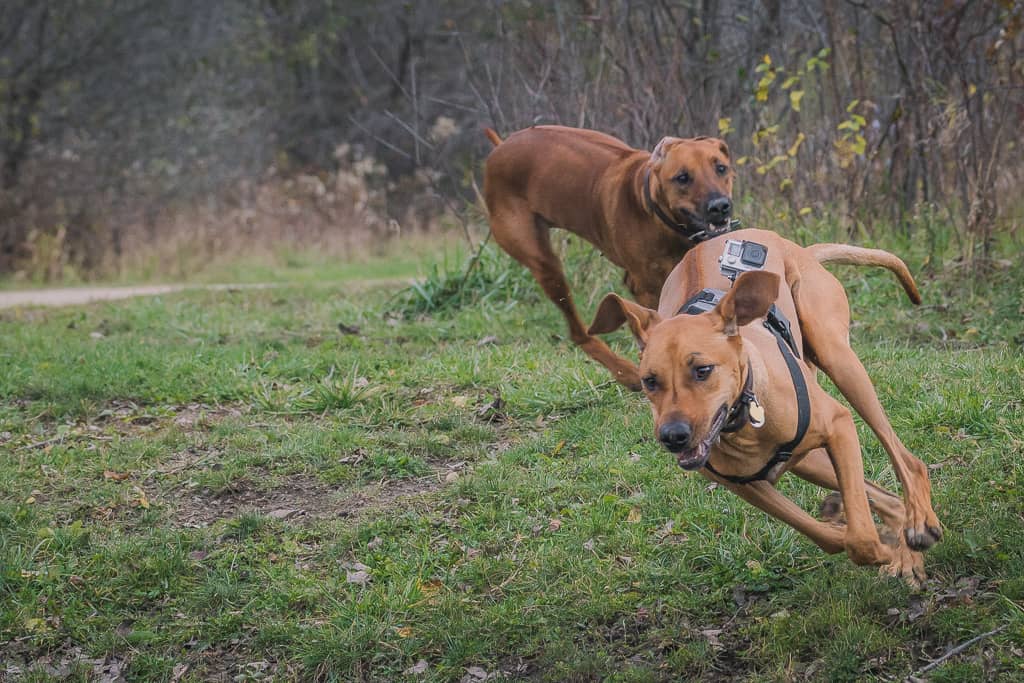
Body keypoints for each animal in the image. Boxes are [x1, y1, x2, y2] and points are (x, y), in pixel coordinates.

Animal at [481, 124, 733, 387]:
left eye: (721, 168)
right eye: (682, 177)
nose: (719, 206)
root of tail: (501, 146)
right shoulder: (646, 288)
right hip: (542, 262)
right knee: (578, 331)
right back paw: (626, 372)